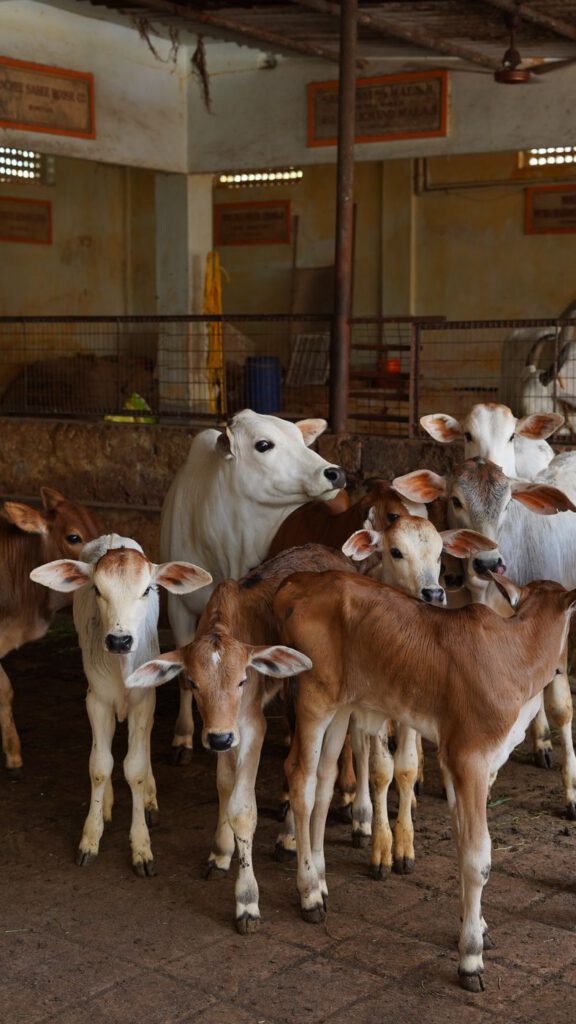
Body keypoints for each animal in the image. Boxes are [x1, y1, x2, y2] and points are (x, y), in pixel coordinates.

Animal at [30, 535, 212, 874]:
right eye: (97, 589)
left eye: (147, 590)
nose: (119, 640)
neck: (122, 668)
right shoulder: (96, 700)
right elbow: (100, 766)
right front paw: (90, 837)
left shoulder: (145, 699)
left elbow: (135, 769)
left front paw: (141, 846)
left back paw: (150, 797)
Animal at [160, 410, 346, 761]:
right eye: (263, 444)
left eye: (301, 439)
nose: (335, 472)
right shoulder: (178, 607)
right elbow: (185, 677)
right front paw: (182, 736)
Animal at [273, 568, 576, 992]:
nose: (565, 668)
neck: (514, 655)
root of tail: (295, 582)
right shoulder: (469, 758)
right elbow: (477, 857)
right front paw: (471, 957)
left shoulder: (466, 763)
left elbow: (463, 842)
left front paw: (478, 927)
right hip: (313, 700)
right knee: (300, 778)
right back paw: (309, 896)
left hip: (340, 708)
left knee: (324, 779)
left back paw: (320, 880)